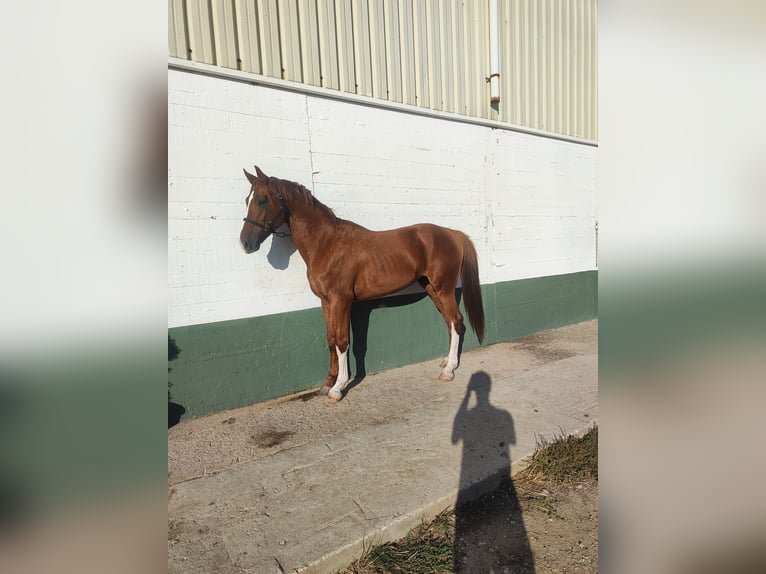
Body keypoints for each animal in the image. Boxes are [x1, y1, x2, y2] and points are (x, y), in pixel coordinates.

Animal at [240, 165, 485, 402]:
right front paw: (327, 383)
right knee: (449, 322)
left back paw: (449, 370)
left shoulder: (341, 301)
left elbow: (342, 341)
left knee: (456, 320)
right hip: (432, 288)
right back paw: (446, 361)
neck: (327, 244)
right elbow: (330, 339)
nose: (246, 243)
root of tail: (452, 234)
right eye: (247, 200)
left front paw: (338, 388)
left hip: (444, 289)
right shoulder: (326, 302)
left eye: (262, 199)